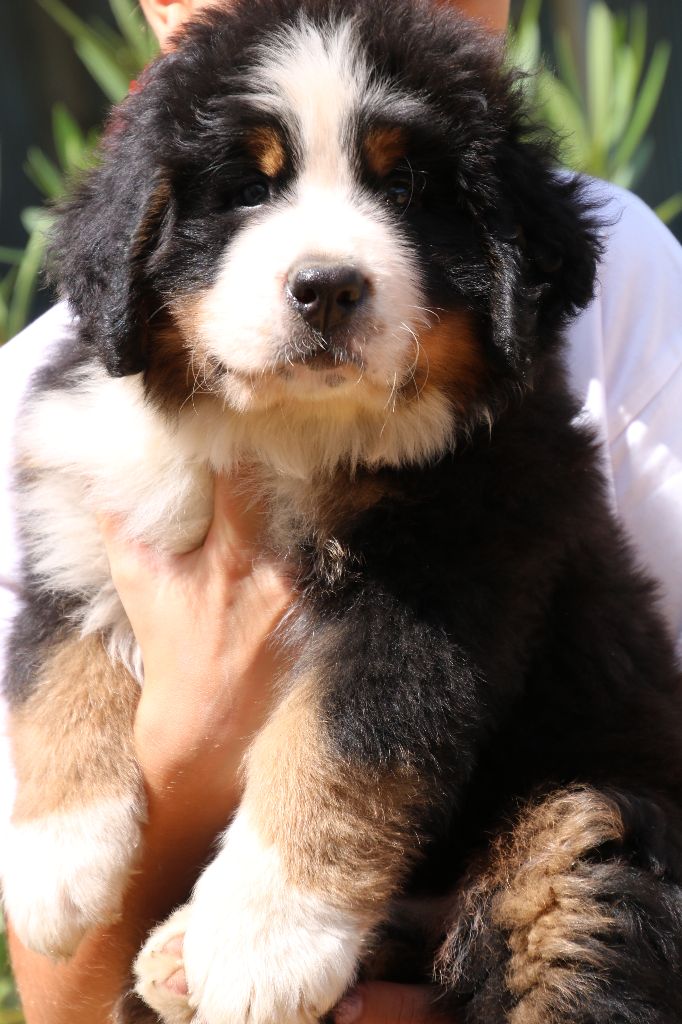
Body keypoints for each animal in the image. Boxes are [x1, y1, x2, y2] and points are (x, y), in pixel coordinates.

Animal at [3, 0, 679, 1019]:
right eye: (249, 188)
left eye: (405, 186)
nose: (325, 287)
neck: (286, 435)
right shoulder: (82, 494)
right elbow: (55, 654)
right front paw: (54, 859)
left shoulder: (446, 580)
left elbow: (340, 742)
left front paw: (265, 940)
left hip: (575, 822)